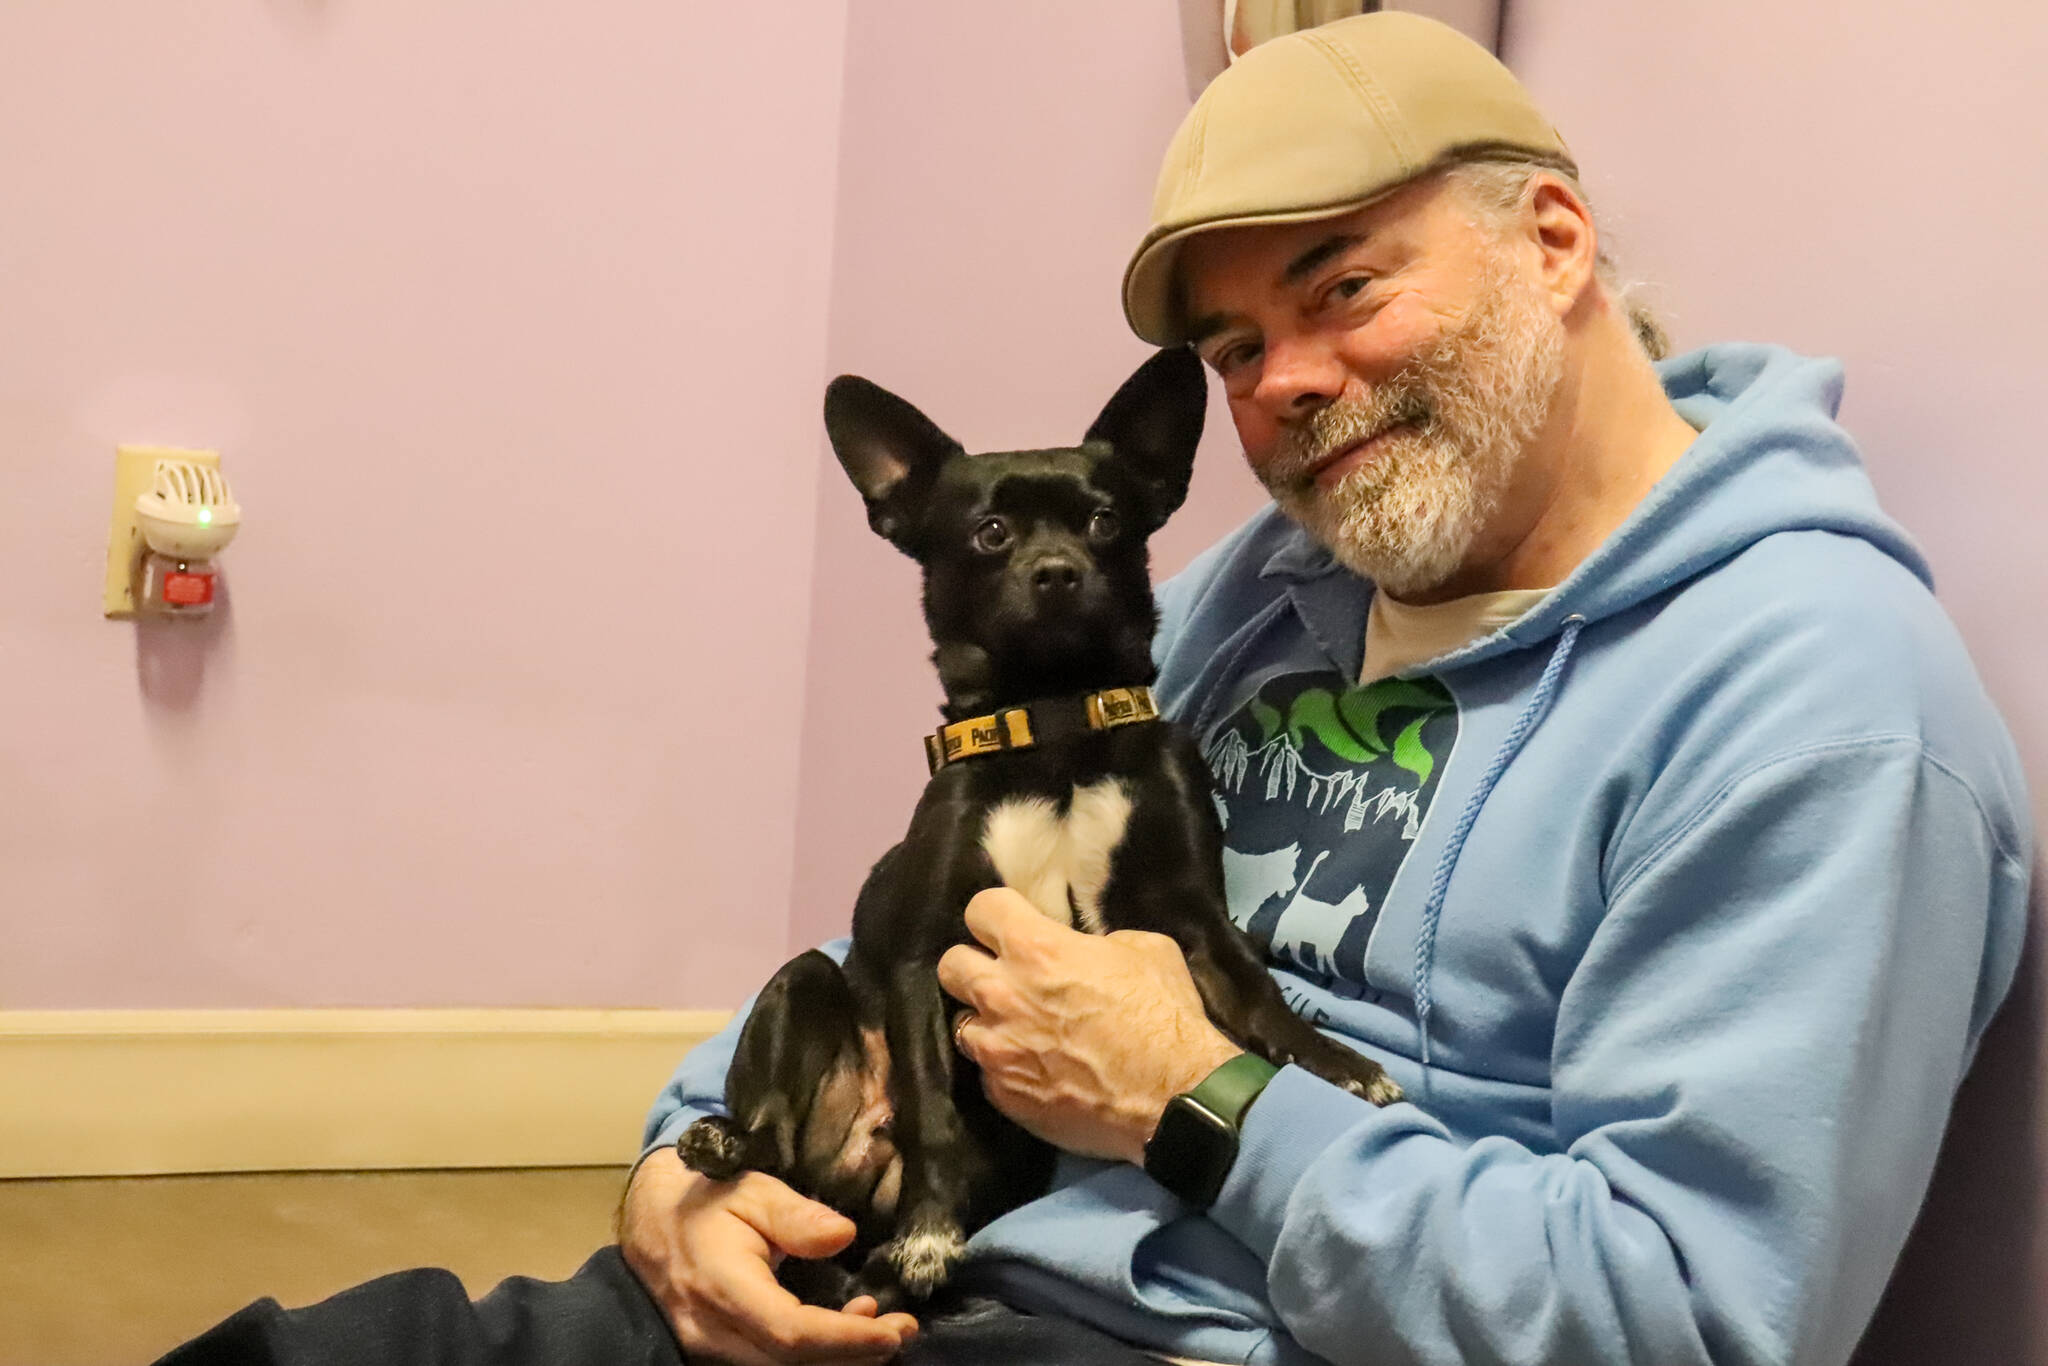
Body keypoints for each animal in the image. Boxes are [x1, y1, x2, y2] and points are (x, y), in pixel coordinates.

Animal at [679, 352, 1400, 1310]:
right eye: (989, 533)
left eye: (1105, 522)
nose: (1057, 571)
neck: (1056, 729)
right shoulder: (922, 957)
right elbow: (933, 1108)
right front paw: (929, 1233)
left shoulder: (1196, 922)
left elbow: (1262, 1001)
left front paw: (1338, 1066)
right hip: (800, 990)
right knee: (777, 1141)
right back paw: (735, 1146)